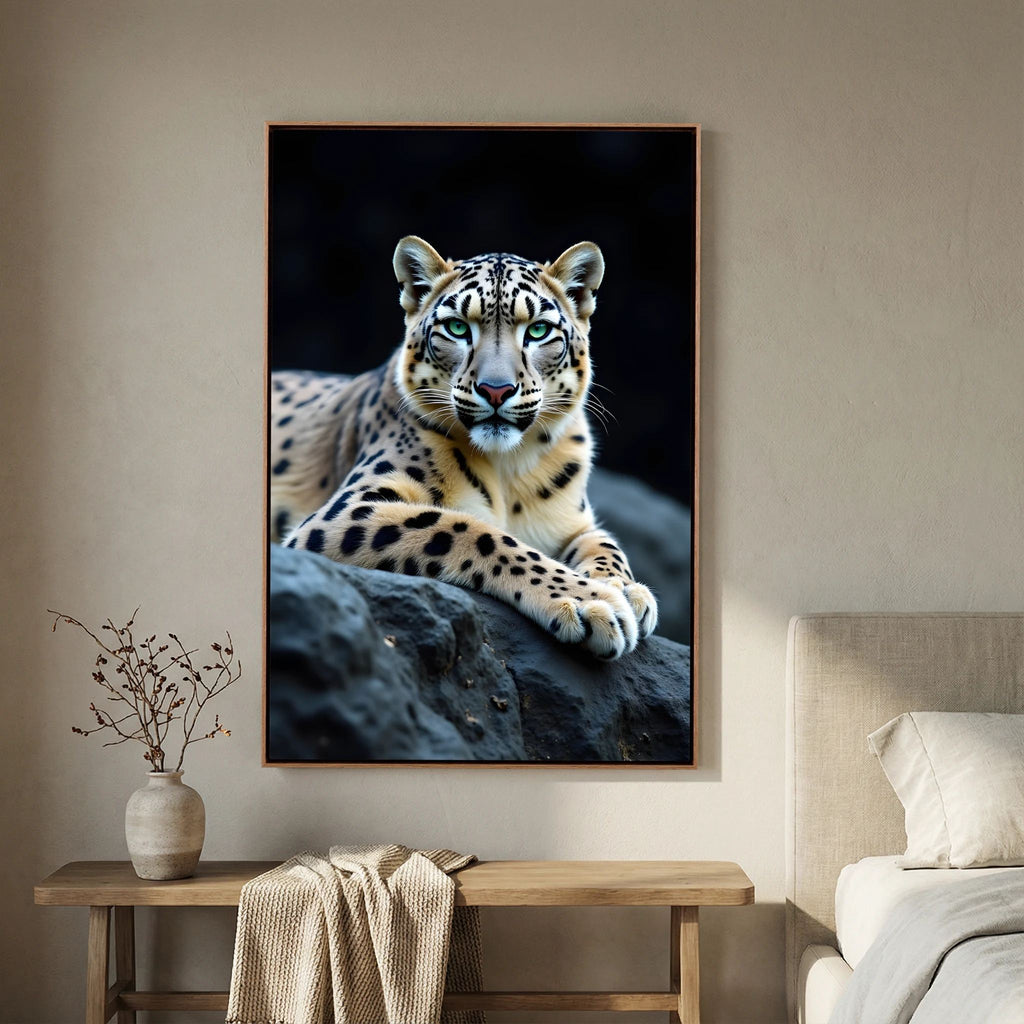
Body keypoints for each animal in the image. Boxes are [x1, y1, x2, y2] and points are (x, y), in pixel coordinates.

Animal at [269, 236, 658, 660]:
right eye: (457, 327)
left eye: (538, 330)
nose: (496, 389)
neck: (509, 469)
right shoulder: (347, 509)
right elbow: (467, 529)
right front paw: (593, 601)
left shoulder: (573, 522)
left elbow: (606, 544)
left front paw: (626, 590)